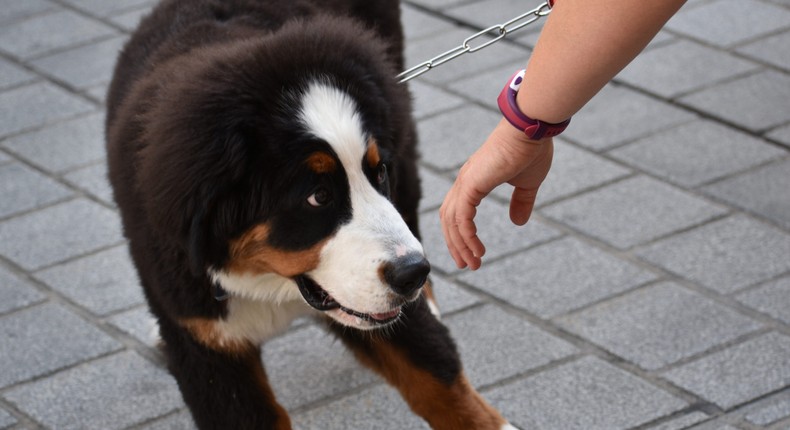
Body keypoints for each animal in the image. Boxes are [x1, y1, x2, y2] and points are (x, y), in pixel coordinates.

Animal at [103, 0, 520, 426]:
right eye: (318, 197)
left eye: (379, 172)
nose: (413, 273)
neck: (270, 283)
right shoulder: (206, 347)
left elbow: (441, 380)